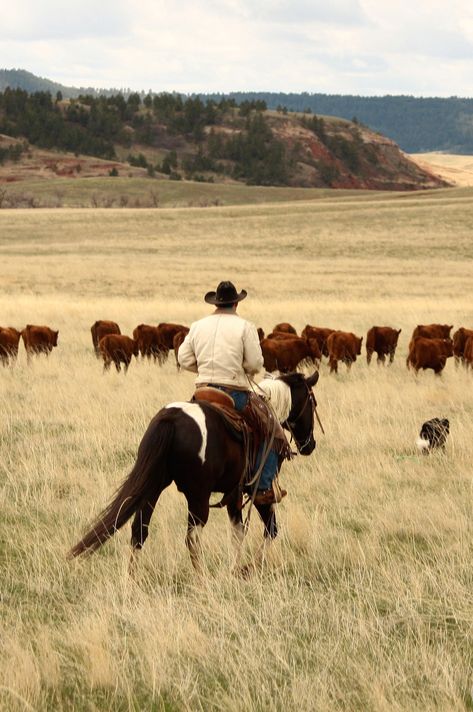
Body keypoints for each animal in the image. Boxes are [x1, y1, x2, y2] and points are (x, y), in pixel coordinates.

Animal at [70, 372, 318, 568]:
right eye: (313, 403)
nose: (310, 445)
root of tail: (171, 418)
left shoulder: (233, 494)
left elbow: (237, 532)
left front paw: (234, 570)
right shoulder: (257, 490)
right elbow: (270, 529)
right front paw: (249, 568)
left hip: (153, 488)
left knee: (139, 531)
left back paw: (132, 579)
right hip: (198, 497)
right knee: (192, 538)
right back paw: (202, 580)